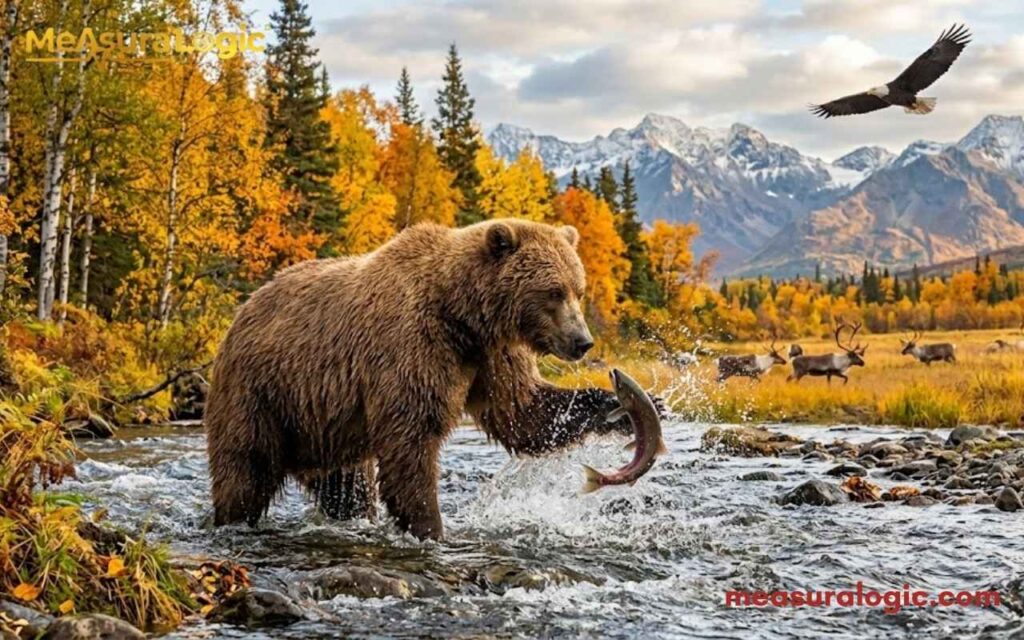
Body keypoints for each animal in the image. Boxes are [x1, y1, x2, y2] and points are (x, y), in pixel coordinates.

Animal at [205, 218, 634, 539]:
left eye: (579, 289)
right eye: (553, 292)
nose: (582, 341)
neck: (462, 316)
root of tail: (243, 310)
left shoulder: (489, 356)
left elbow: (522, 412)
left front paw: (620, 407)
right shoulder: (412, 349)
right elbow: (411, 439)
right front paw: (429, 526)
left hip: (324, 424)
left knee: (346, 488)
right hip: (261, 393)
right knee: (245, 467)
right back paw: (233, 517)